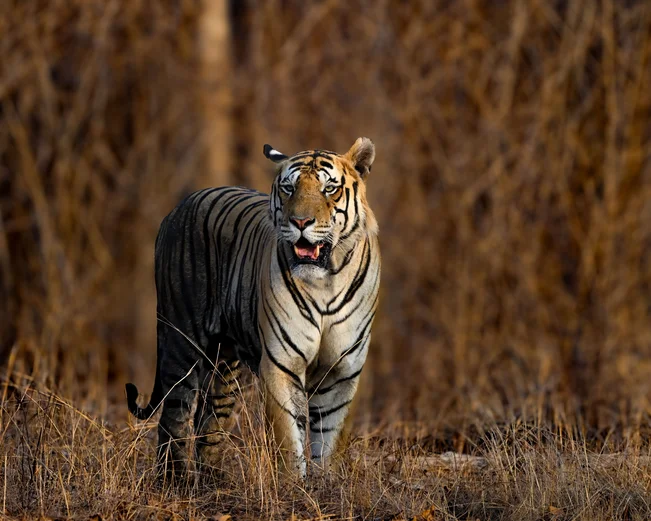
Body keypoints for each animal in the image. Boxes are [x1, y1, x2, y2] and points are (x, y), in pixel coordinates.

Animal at [125, 137, 380, 479]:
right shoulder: (280, 365)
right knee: (174, 416)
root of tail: (180, 205)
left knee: (209, 422)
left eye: (329, 189)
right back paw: (174, 480)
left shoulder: (341, 371)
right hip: (181, 340)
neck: (326, 280)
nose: (300, 222)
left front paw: (327, 484)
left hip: (223, 365)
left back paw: (212, 482)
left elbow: (328, 443)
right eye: (289, 188)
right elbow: (289, 442)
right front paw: (294, 487)